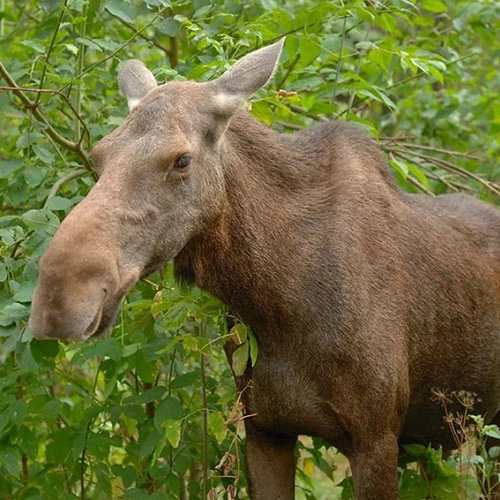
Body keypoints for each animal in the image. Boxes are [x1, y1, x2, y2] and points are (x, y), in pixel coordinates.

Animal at [28, 40, 500, 500]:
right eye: (99, 155)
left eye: (182, 160)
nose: (58, 300)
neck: (274, 302)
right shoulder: (264, 429)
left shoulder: (376, 437)